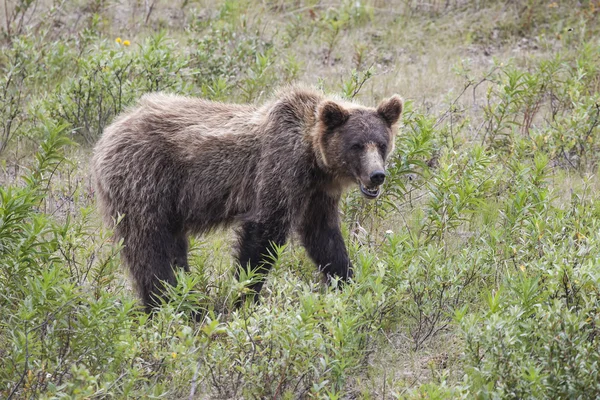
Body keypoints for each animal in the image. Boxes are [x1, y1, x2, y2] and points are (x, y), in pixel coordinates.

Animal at [91, 86, 404, 312]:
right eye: (357, 145)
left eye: (382, 143)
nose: (377, 175)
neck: (314, 159)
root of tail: (109, 131)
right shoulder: (280, 167)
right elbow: (264, 233)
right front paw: (244, 298)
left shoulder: (317, 193)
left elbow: (323, 237)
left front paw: (348, 283)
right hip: (144, 182)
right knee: (149, 246)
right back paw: (167, 305)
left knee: (172, 248)